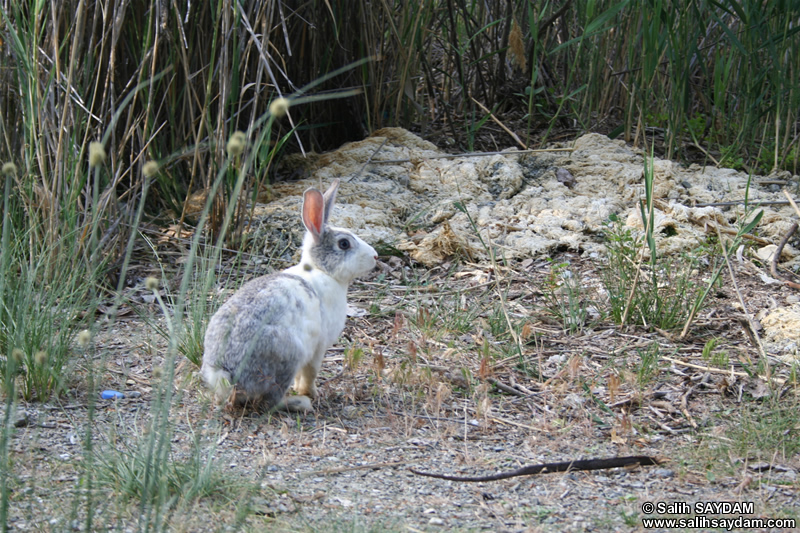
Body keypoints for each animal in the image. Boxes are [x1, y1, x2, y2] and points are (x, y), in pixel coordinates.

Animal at [198, 179, 376, 412]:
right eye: (344, 244)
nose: (375, 256)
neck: (321, 270)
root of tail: (225, 373)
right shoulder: (317, 348)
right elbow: (310, 374)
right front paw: (311, 393)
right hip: (288, 355)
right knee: (270, 402)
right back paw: (300, 402)